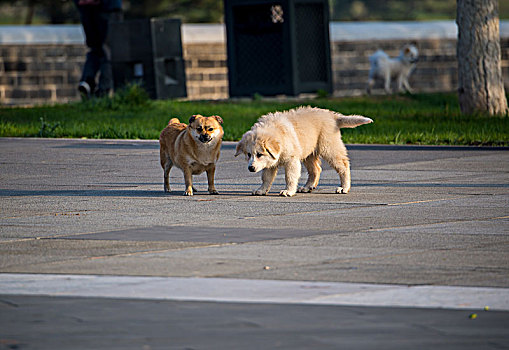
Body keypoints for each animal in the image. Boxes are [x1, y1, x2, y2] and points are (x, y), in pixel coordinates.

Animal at [234, 106, 374, 197]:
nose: (251, 168)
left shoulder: (291, 160)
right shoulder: (270, 163)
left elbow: (290, 177)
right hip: (309, 153)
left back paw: (344, 188)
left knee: (344, 165)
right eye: (249, 154)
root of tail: (332, 116)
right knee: (316, 170)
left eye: (259, 154)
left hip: (329, 148)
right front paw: (261, 190)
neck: (278, 134)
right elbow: (266, 178)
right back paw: (308, 187)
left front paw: (288, 191)